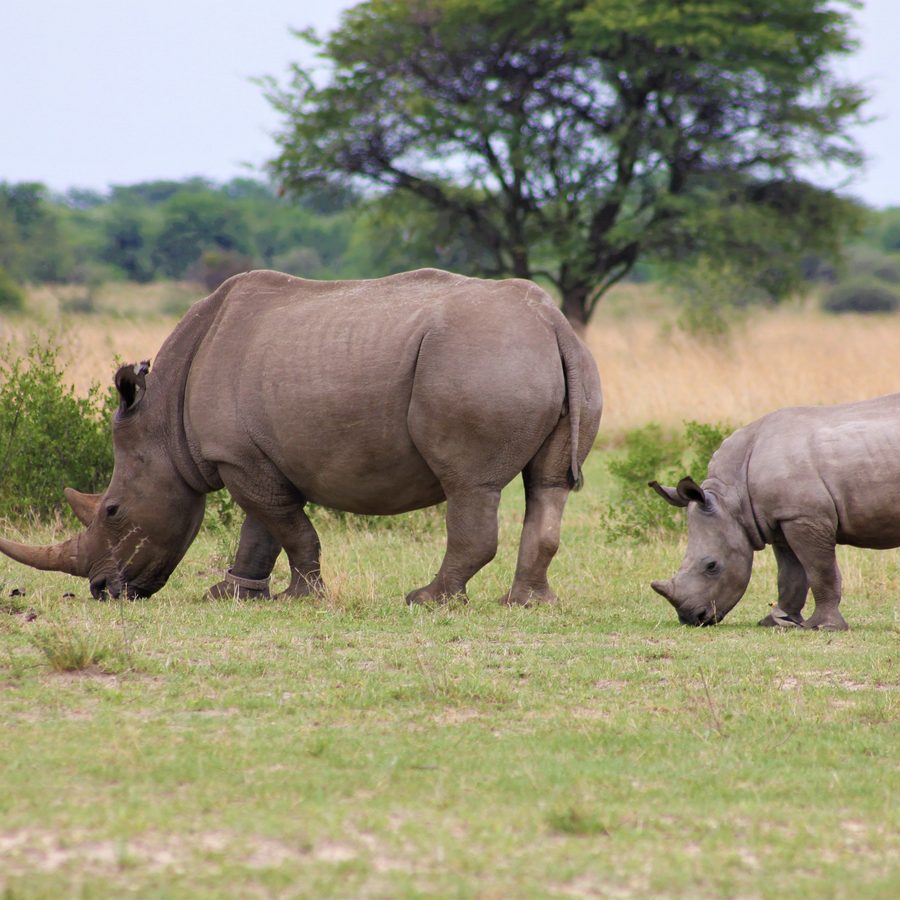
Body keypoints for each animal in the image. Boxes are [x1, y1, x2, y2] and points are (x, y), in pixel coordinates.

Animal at [0, 269, 602, 605]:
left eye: (113, 511)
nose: (102, 592)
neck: (163, 423)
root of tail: (552, 322)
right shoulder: (246, 456)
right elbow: (261, 529)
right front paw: (229, 596)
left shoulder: (236, 458)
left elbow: (287, 528)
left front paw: (301, 599)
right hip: (543, 358)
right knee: (547, 486)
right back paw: (528, 604)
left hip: (478, 359)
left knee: (469, 485)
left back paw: (427, 601)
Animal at [648, 394, 900, 630]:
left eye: (712, 566)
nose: (692, 618)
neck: (733, 498)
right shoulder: (782, 518)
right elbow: (790, 576)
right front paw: (777, 621)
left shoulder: (805, 517)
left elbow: (820, 570)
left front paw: (824, 626)